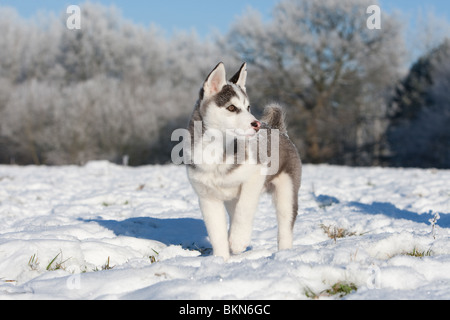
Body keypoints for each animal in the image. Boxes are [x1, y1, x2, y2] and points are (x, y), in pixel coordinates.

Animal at [186, 62, 302, 260]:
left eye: (248, 107)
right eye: (232, 108)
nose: (256, 124)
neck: (216, 151)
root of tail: (279, 130)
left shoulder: (255, 175)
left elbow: (245, 208)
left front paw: (239, 240)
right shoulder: (207, 197)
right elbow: (216, 233)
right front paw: (220, 260)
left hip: (286, 192)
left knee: (285, 227)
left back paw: (283, 255)